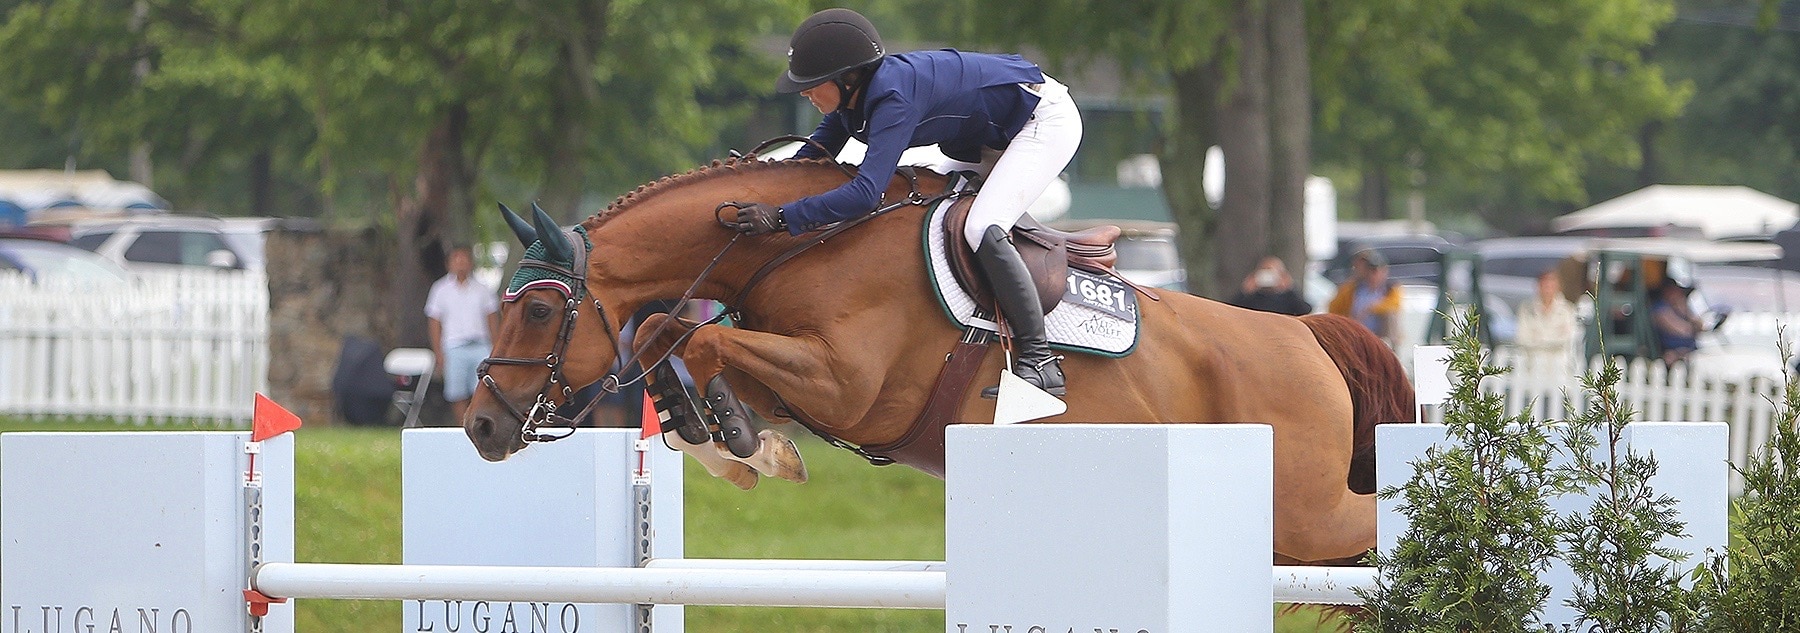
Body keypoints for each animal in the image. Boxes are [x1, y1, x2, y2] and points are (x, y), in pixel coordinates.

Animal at [468, 158, 1418, 564]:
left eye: (541, 309)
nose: (478, 425)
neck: (804, 243)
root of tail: (1307, 333)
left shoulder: (850, 385)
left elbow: (695, 335)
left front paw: (737, 437)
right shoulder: (801, 373)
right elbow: (672, 333)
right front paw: (731, 440)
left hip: (1303, 512)